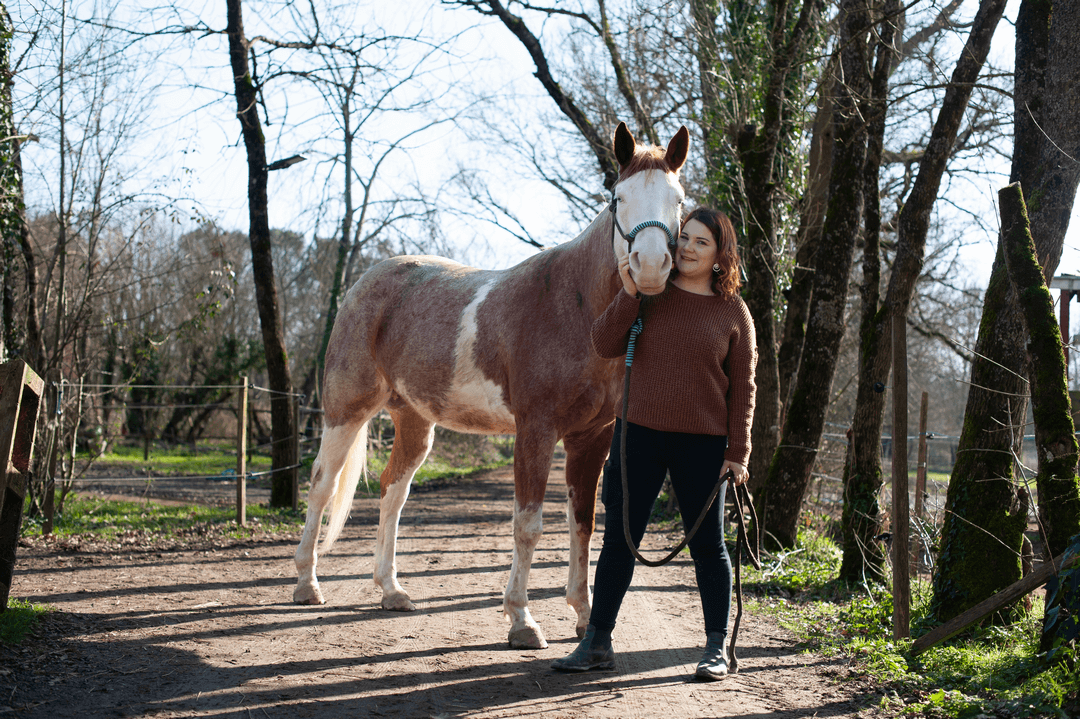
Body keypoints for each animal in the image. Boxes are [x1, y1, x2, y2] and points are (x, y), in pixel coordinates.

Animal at [291, 120, 686, 647]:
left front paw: (583, 615)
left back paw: (392, 590)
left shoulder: (591, 438)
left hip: (413, 421)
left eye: (678, 199)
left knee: (393, 490)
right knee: (321, 485)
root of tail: (365, 282)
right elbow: (528, 525)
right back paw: (307, 584)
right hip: (346, 412)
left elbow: (582, 524)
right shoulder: (535, 431)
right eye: (618, 198)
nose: (650, 267)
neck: (577, 309)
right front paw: (522, 619)